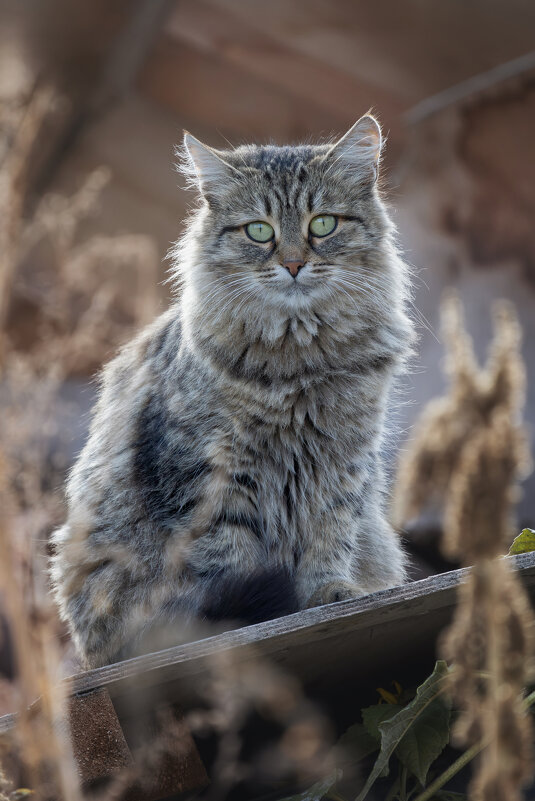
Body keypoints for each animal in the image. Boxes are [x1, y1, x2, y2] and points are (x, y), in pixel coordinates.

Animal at [50, 111, 416, 664]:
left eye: (323, 224)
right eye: (259, 231)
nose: (293, 264)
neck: (298, 365)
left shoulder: (341, 462)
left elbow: (329, 539)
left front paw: (330, 595)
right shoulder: (210, 476)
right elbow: (227, 558)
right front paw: (245, 626)